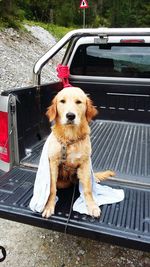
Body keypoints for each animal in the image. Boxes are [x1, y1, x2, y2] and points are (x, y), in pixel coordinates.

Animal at [42, 87, 115, 219]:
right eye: (62, 101)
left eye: (78, 102)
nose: (70, 116)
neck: (70, 139)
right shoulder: (53, 164)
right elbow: (52, 189)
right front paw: (49, 206)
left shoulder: (85, 164)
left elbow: (88, 189)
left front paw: (92, 206)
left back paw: (96, 178)